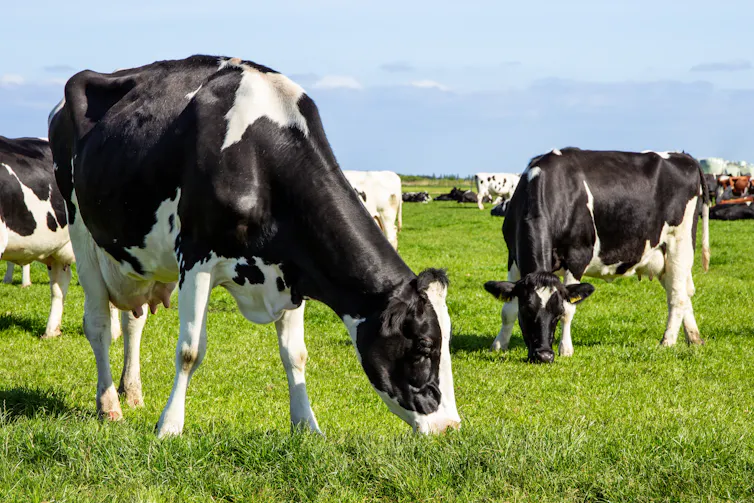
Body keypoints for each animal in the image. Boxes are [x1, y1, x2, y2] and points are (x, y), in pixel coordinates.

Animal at [49, 55, 460, 437]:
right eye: (424, 345)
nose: (450, 426)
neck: (261, 157)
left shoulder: (294, 269)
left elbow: (295, 354)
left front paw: (307, 425)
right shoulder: (195, 257)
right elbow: (189, 350)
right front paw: (169, 426)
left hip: (136, 260)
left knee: (133, 320)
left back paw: (131, 392)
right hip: (82, 231)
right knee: (99, 324)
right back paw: (109, 404)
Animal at [483, 148, 710, 363]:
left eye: (557, 314)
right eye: (527, 311)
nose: (544, 356)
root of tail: (684, 156)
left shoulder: (577, 257)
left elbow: (570, 309)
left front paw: (566, 349)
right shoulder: (513, 257)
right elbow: (508, 309)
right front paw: (499, 345)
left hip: (680, 243)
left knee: (677, 297)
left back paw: (667, 341)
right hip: (661, 257)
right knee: (682, 291)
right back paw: (694, 338)